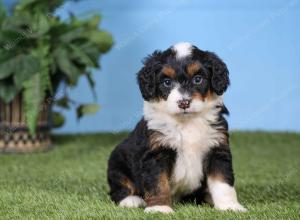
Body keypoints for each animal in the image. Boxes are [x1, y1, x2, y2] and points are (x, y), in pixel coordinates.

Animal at [108, 41, 246, 213]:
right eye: (167, 82)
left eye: (198, 79)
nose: (184, 102)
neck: (187, 122)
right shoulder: (156, 153)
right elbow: (158, 183)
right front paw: (159, 208)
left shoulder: (217, 148)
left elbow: (223, 182)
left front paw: (230, 206)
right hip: (116, 162)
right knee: (118, 188)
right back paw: (131, 200)